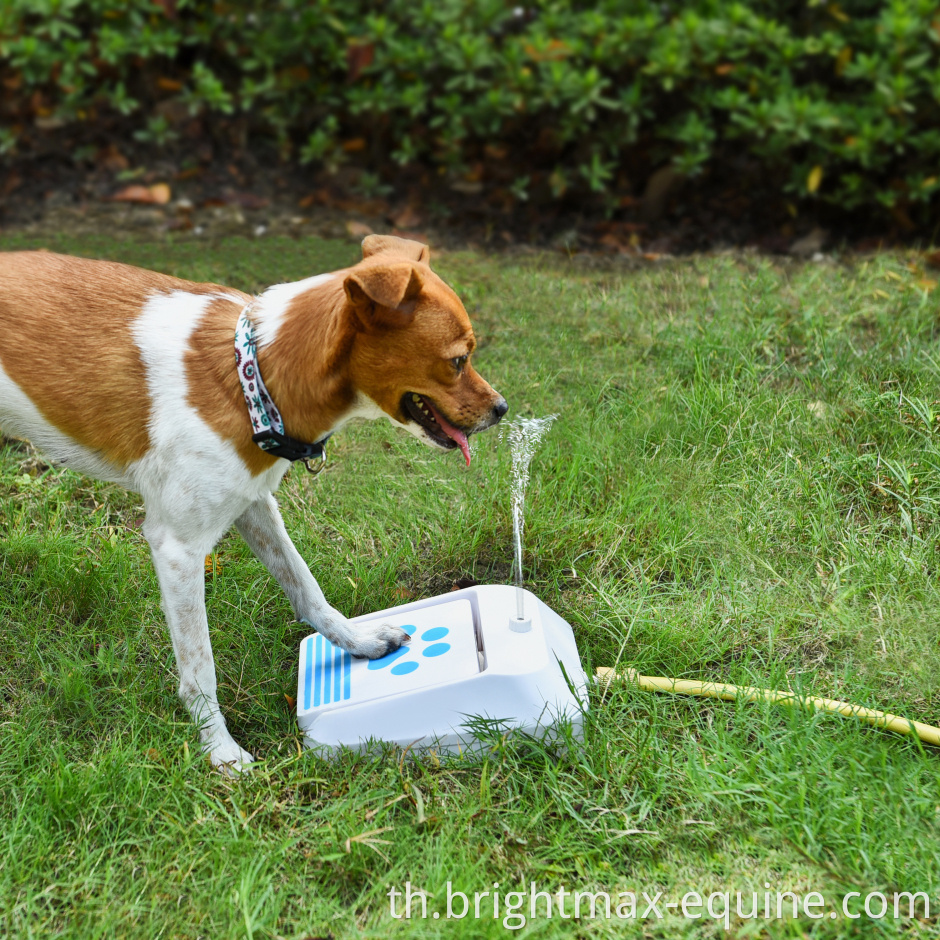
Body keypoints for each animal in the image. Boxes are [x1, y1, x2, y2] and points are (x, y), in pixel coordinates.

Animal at [0, 235, 507, 770]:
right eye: (458, 359)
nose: (502, 409)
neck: (250, 375)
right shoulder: (177, 548)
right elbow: (200, 668)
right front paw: (220, 751)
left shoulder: (254, 504)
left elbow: (306, 587)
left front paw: (359, 643)